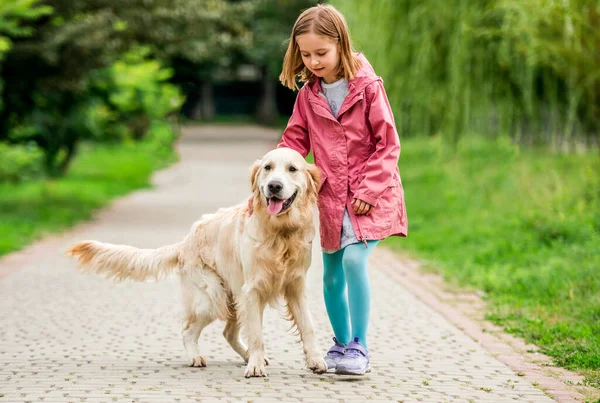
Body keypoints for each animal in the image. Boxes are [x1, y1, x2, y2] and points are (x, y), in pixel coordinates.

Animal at [66, 148, 328, 378]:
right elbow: (256, 335)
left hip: (232, 297)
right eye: (268, 168)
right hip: (213, 296)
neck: (281, 232)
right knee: (188, 330)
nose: (274, 186)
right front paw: (255, 366)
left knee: (228, 332)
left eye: (292, 169)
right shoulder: (252, 290)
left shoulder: (295, 286)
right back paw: (197, 357)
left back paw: (247, 356)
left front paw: (315, 361)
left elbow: (308, 326)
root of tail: (184, 242)